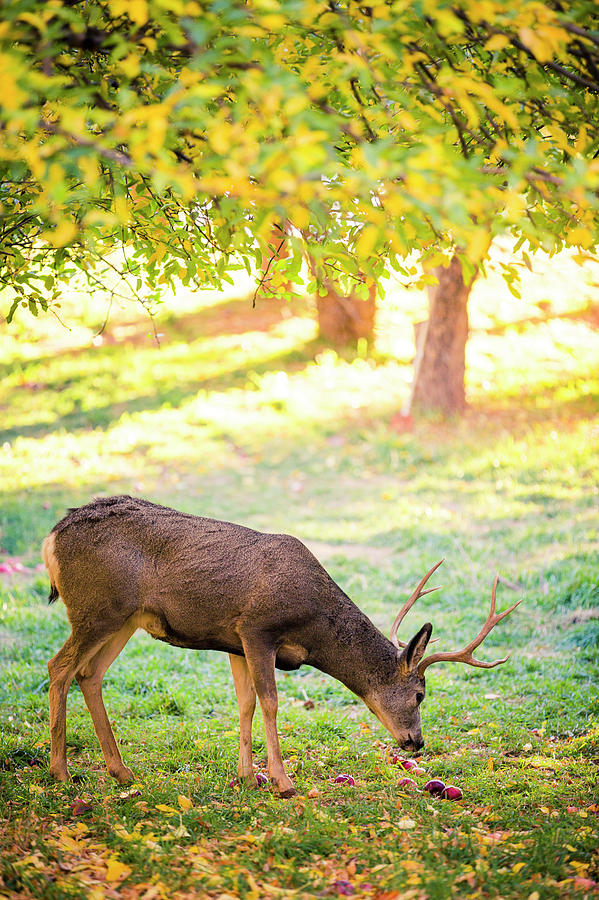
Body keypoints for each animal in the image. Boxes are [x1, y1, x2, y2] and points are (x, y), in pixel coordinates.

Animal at [43, 495, 521, 797]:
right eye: (420, 694)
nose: (415, 743)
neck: (312, 626)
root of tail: (51, 539)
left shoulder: (233, 641)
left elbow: (246, 704)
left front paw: (246, 776)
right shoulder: (257, 629)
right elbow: (270, 702)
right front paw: (282, 781)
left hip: (123, 618)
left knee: (89, 673)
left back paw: (121, 771)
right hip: (97, 608)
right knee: (58, 667)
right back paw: (61, 772)